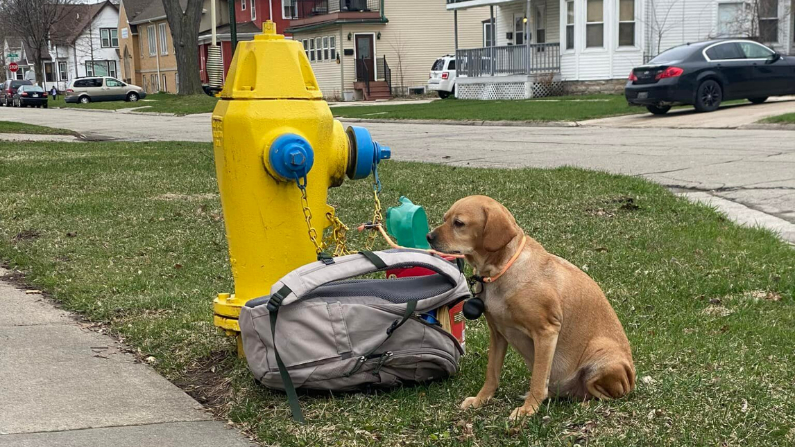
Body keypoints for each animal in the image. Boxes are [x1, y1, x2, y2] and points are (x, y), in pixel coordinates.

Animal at [430, 196, 636, 420]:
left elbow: (538, 379)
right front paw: (480, 400)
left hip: (602, 359)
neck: (501, 270)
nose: (428, 236)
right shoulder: (498, 334)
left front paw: (528, 409)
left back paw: (584, 405)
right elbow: (492, 373)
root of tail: (631, 379)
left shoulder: (546, 331)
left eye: (459, 223)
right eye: (445, 218)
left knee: (607, 396)